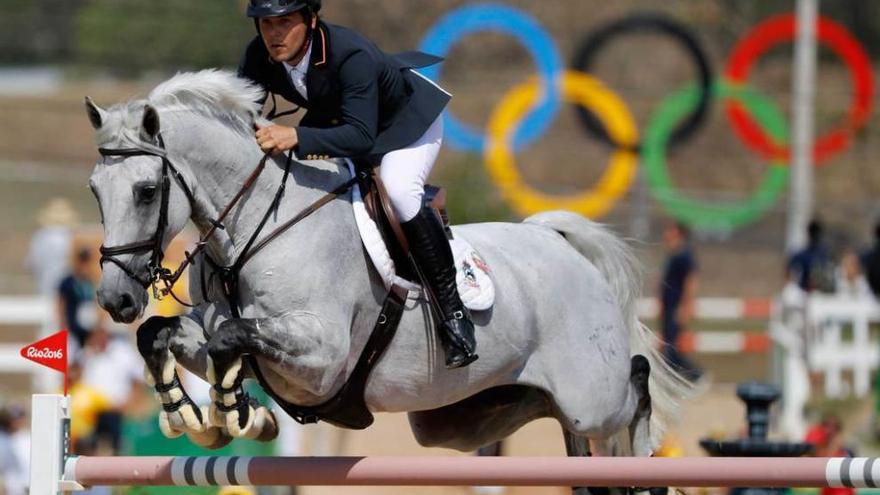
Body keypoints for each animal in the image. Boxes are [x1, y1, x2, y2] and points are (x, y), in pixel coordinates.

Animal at [86, 70, 692, 492]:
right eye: (94, 189)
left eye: (145, 190)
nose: (116, 300)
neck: (255, 224)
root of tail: (558, 242)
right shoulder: (221, 332)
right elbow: (166, 336)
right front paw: (198, 417)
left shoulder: (322, 357)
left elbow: (230, 339)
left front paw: (236, 414)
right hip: (464, 417)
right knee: (564, 427)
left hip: (592, 394)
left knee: (634, 387)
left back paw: (644, 472)